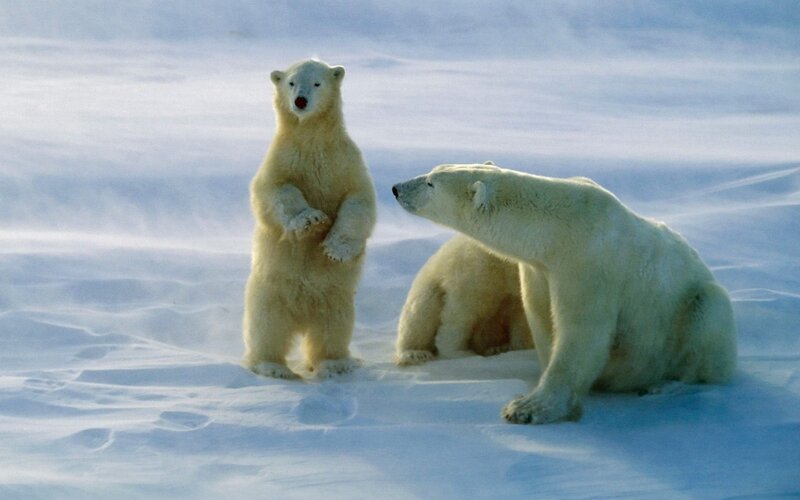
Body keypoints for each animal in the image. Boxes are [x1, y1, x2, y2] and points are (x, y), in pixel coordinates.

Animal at [243, 59, 376, 379]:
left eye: (317, 83)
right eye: (291, 82)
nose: (300, 101)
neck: (313, 139)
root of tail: (301, 316)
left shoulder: (344, 162)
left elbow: (359, 201)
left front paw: (334, 248)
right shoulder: (282, 160)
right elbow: (275, 191)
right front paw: (311, 220)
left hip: (336, 297)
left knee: (332, 328)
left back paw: (335, 364)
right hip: (269, 292)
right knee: (267, 328)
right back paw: (272, 366)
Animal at [396, 234, 533, 366]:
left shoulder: (515, 291)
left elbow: (521, 319)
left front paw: (516, 348)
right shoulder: (479, 269)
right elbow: (462, 312)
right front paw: (460, 352)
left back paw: (497, 348)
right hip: (428, 286)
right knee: (421, 313)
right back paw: (415, 353)